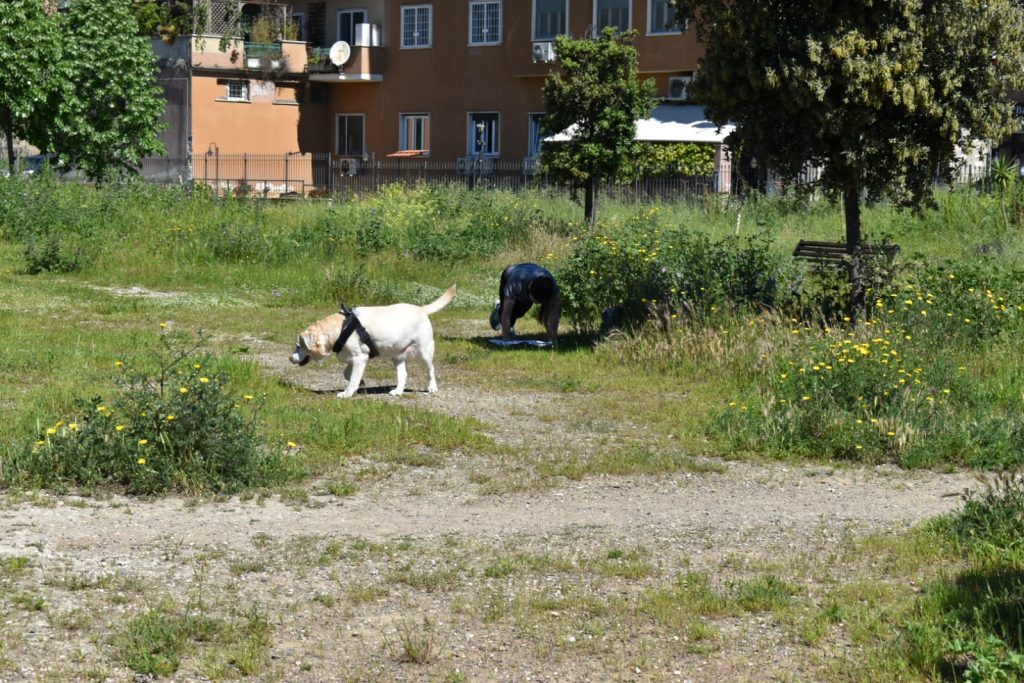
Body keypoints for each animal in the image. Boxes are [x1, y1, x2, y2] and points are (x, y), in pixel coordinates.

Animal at [290, 284, 454, 401]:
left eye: (299, 346)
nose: (290, 358)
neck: (342, 327)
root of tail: (421, 309)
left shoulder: (360, 358)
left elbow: (352, 379)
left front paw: (347, 393)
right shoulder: (357, 358)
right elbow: (348, 374)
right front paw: (361, 383)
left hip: (424, 352)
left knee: (431, 369)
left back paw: (432, 387)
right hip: (397, 355)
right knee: (403, 374)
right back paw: (398, 391)